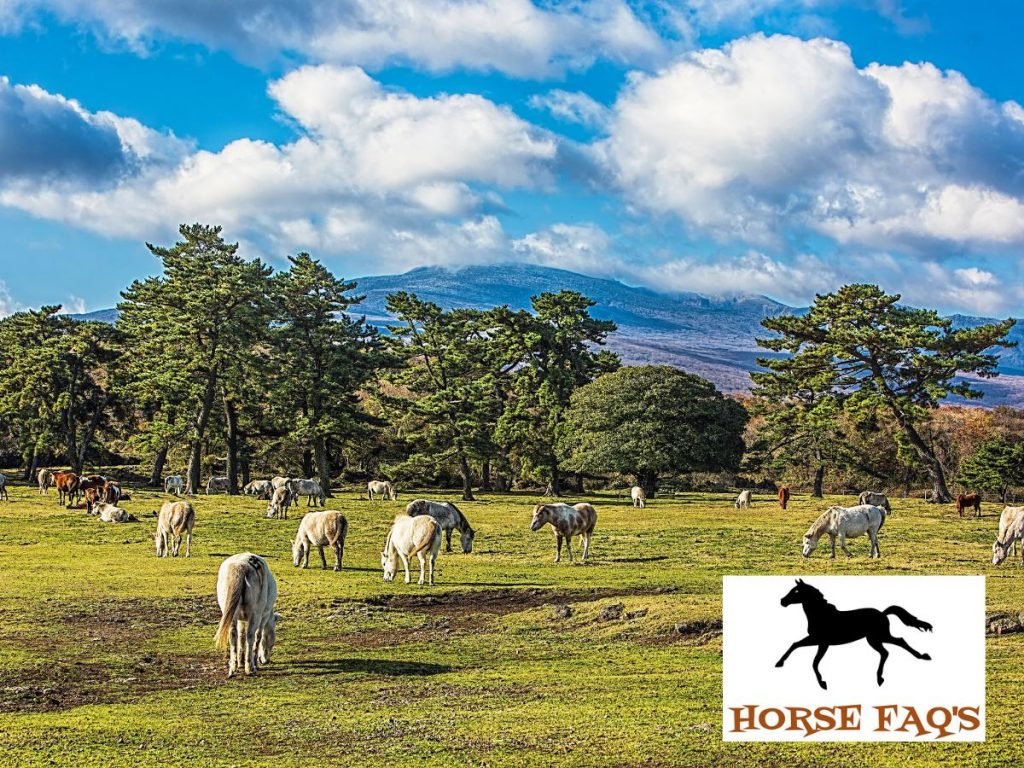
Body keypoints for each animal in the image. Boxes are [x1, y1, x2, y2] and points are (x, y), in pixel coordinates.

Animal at [775, 579, 932, 690]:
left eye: (796, 591)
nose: (782, 601)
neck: (821, 614)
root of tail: (882, 613)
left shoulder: (821, 642)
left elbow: (812, 660)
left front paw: (822, 683)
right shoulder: (819, 641)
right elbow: (797, 647)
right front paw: (779, 663)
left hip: (878, 637)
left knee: (897, 643)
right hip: (875, 639)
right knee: (889, 649)